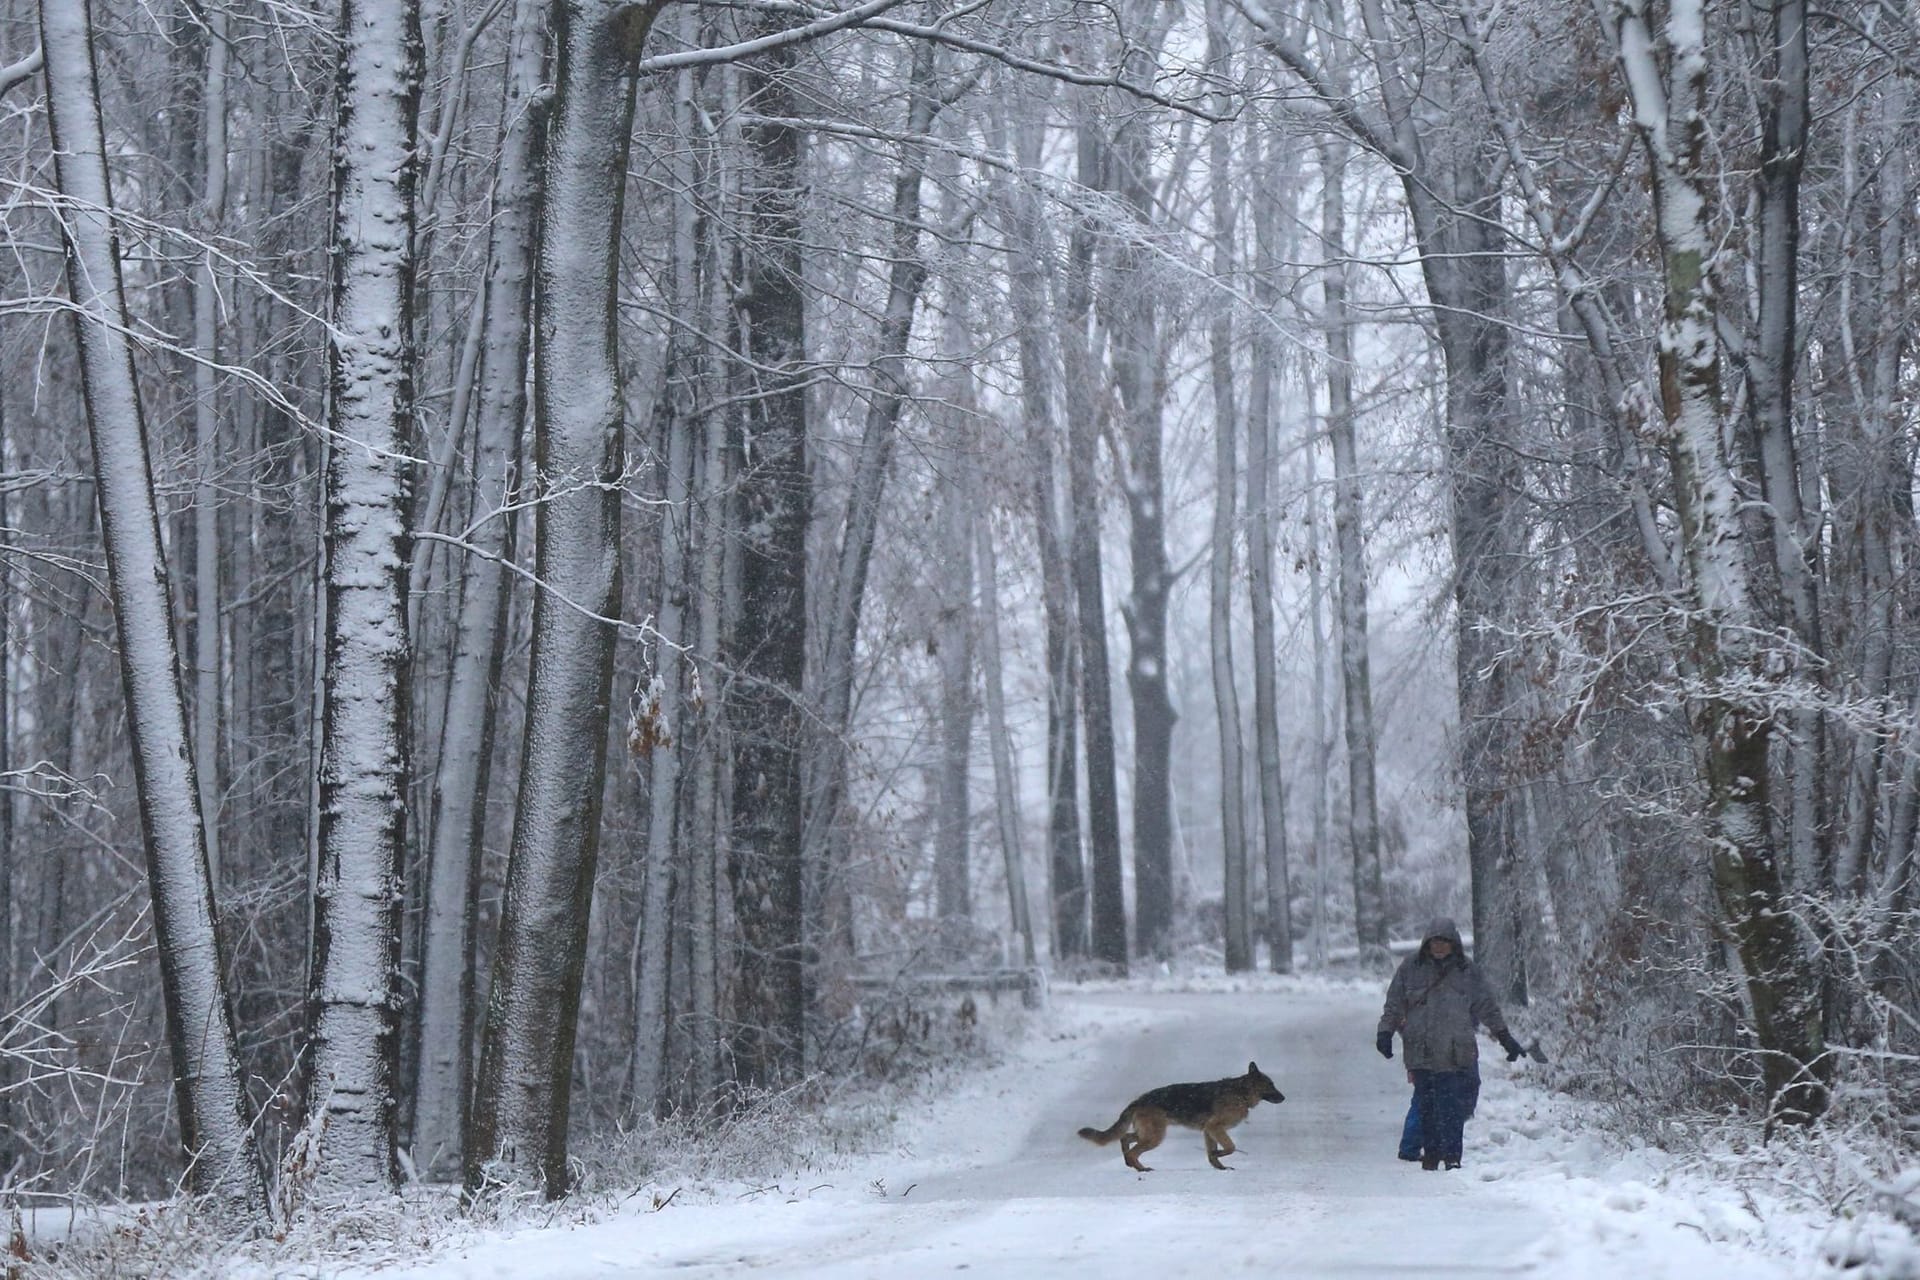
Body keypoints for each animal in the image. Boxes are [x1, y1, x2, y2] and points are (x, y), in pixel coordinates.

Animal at [1082, 1059, 1290, 1174]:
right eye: (1271, 1085)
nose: (1284, 1098)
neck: (1241, 1092)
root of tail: (1139, 1100)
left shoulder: (1209, 1131)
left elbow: (1213, 1153)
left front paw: (1220, 1167)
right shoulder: (1215, 1128)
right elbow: (1230, 1147)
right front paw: (1219, 1157)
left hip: (1147, 1134)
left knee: (1125, 1138)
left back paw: (1130, 1163)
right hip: (1155, 1137)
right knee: (1133, 1150)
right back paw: (1141, 1169)